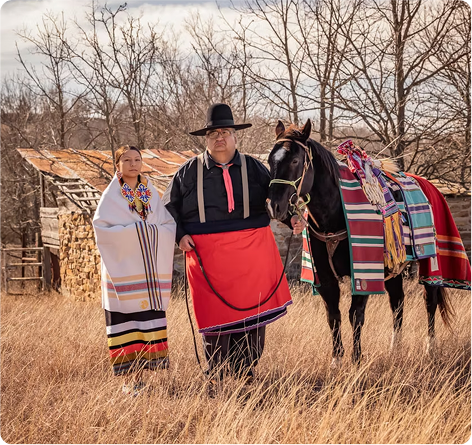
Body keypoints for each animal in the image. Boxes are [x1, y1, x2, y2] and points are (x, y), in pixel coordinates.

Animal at [266, 119, 454, 366]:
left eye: (295, 160)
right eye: (270, 160)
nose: (274, 206)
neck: (334, 215)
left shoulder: (364, 273)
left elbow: (355, 315)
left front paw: (356, 359)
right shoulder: (325, 278)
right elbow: (333, 315)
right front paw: (336, 359)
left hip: (430, 261)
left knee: (429, 300)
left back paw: (430, 348)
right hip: (394, 268)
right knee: (397, 302)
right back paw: (395, 348)